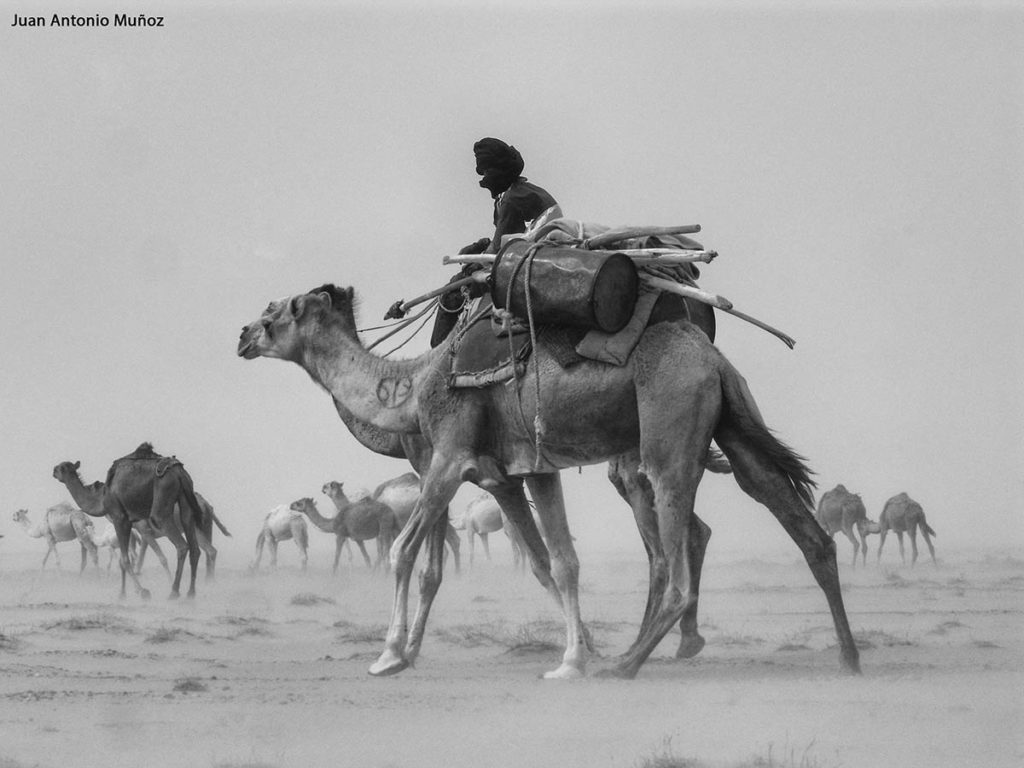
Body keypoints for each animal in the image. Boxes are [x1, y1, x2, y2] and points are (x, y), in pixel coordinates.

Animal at [235, 282, 860, 679]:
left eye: (278, 312)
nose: (241, 334)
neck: (409, 388)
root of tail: (712, 357)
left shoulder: (447, 458)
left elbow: (407, 553)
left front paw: (390, 655)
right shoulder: (518, 473)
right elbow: (554, 563)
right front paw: (571, 658)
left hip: (667, 431)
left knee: (675, 544)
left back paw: (631, 662)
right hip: (735, 421)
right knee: (800, 526)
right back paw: (848, 657)